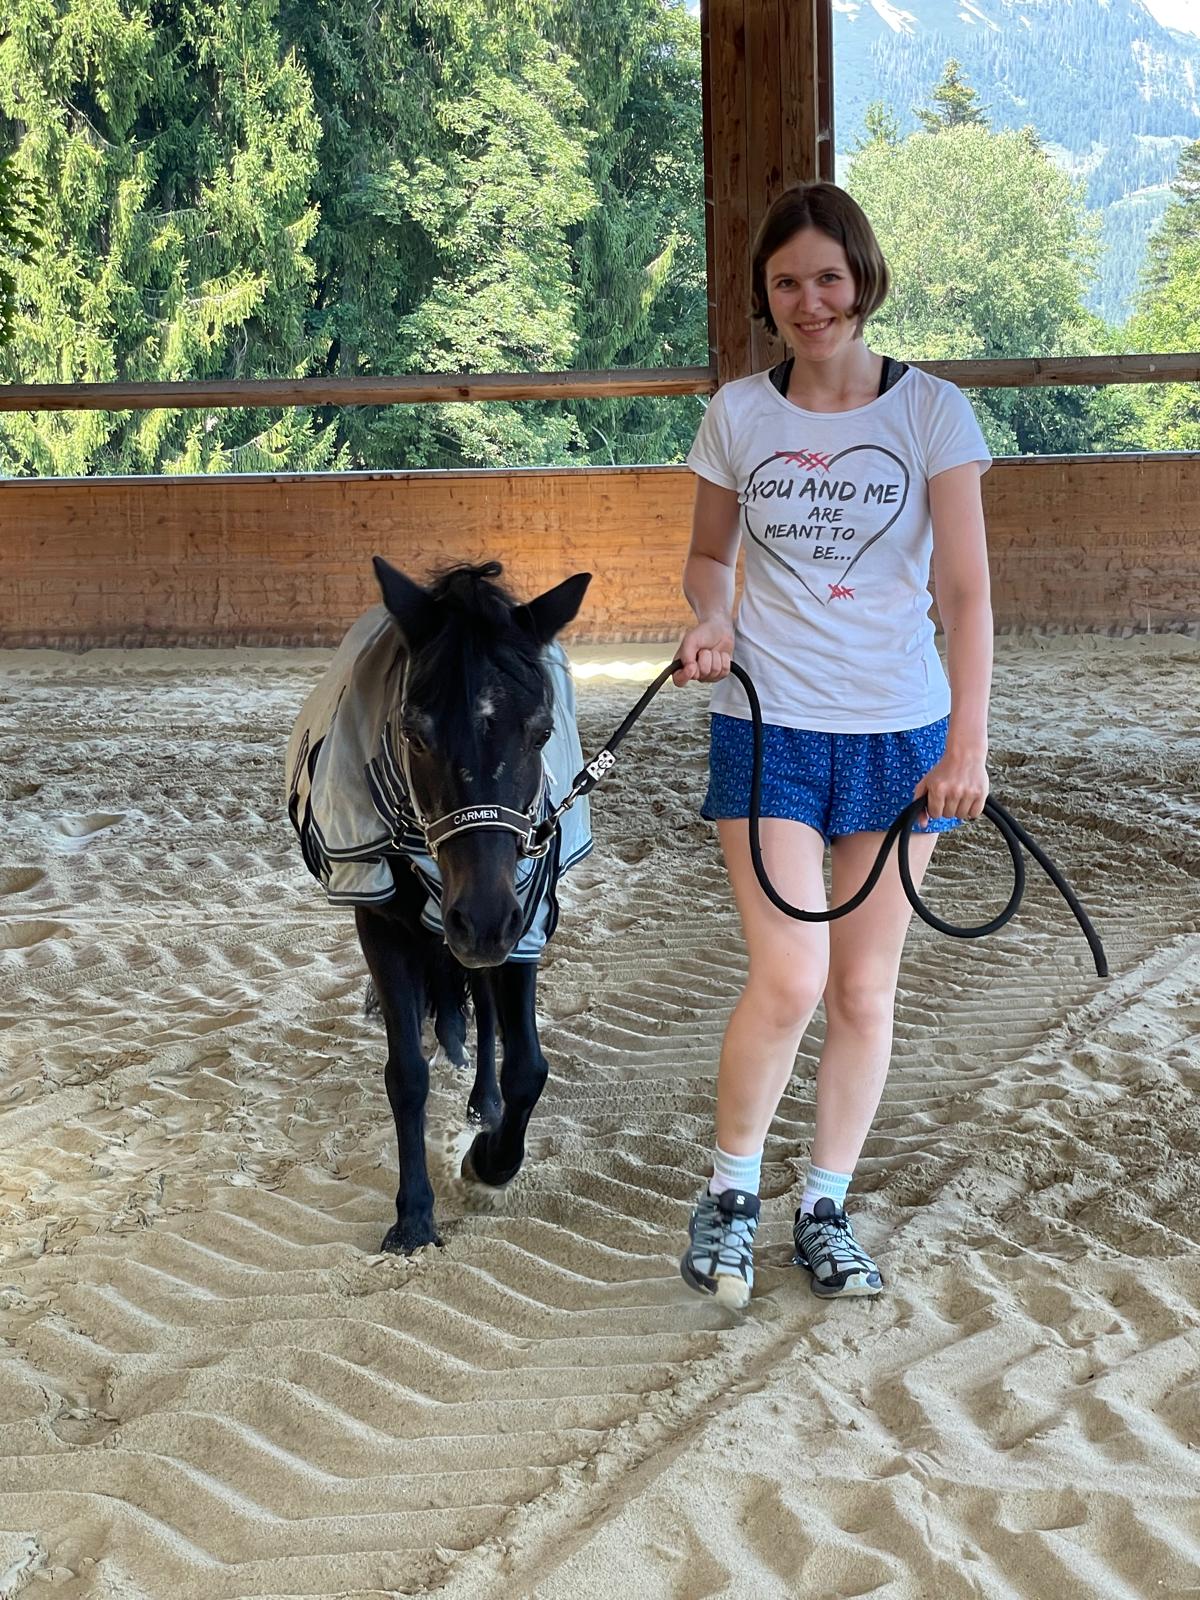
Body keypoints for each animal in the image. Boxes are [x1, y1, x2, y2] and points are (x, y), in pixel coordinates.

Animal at [286, 558, 592, 1253]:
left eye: (541, 732)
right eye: (414, 734)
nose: (480, 921)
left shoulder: (523, 917)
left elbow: (528, 1066)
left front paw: (489, 1159)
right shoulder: (381, 922)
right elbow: (407, 1075)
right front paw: (414, 1217)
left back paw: (484, 1102)